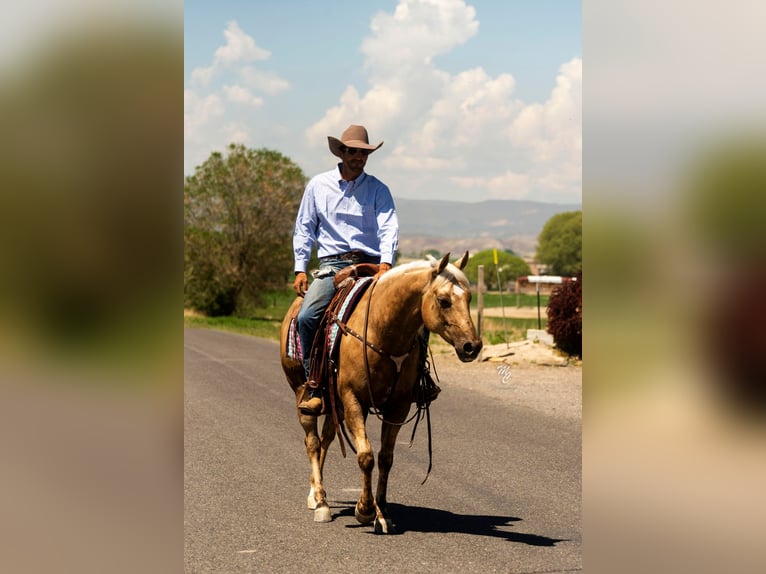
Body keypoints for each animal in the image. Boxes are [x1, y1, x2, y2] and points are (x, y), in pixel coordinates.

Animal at [280, 252, 484, 536]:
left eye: (469, 298)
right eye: (444, 301)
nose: (471, 347)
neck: (382, 329)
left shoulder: (398, 406)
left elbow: (385, 458)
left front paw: (382, 514)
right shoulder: (354, 399)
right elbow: (365, 456)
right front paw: (364, 510)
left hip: (335, 404)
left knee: (326, 439)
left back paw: (315, 493)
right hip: (303, 393)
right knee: (312, 442)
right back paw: (320, 502)